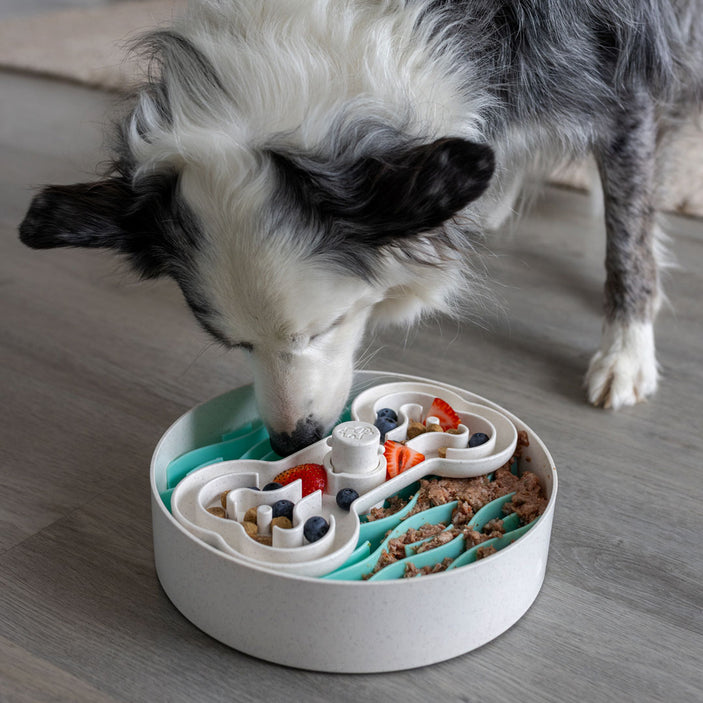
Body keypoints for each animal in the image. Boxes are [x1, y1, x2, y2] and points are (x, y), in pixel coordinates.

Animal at [16, 0, 703, 456]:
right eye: (234, 346)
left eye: (328, 327)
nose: (294, 441)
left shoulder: (624, 83)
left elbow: (628, 235)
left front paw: (626, 350)